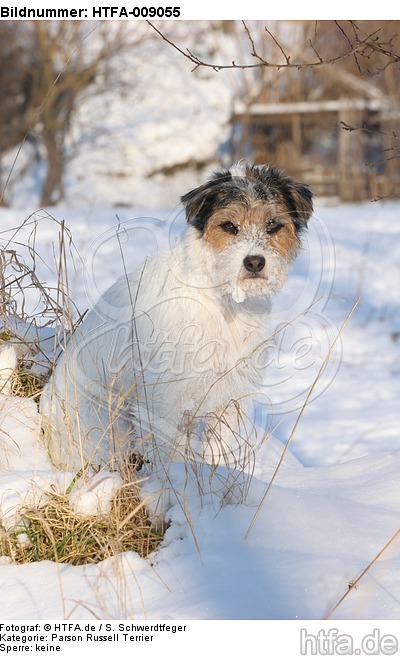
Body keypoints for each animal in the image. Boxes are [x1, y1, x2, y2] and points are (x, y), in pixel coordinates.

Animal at [40, 163, 314, 490]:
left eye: (273, 225)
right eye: (229, 226)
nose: (254, 262)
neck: (223, 299)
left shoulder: (230, 397)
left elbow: (220, 449)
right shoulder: (163, 401)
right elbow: (170, 452)